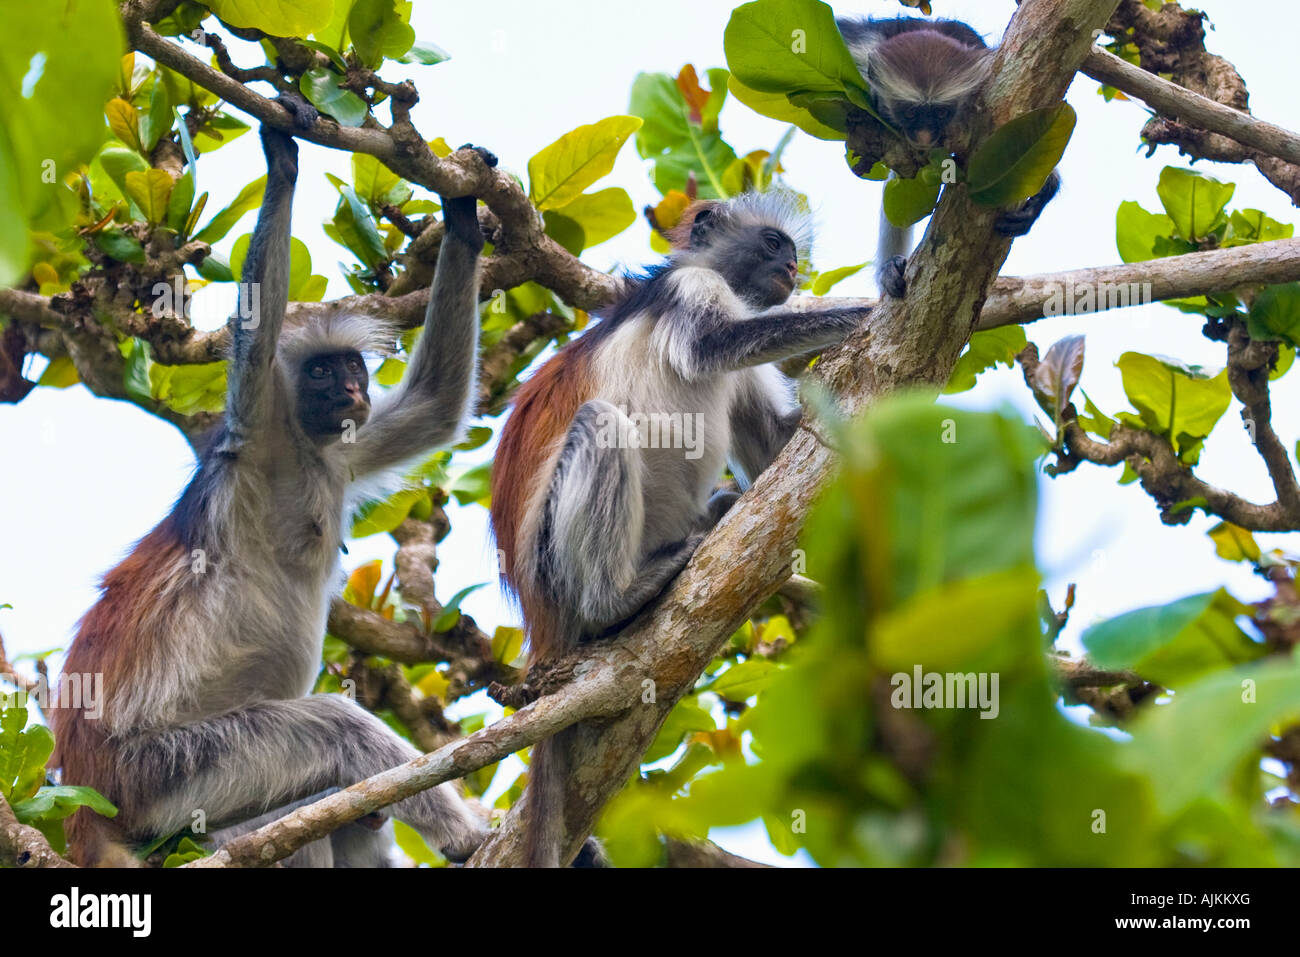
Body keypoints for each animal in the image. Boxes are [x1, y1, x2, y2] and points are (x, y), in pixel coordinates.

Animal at [53, 102, 496, 868]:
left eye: (351, 368)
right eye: (321, 371)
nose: (350, 389)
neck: (300, 454)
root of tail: (88, 795)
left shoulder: (342, 451)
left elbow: (437, 406)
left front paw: (463, 215)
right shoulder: (255, 434)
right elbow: (256, 335)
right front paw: (282, 157)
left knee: (344, 812)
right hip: (168, 773)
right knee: (339, 731)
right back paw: (470, 838)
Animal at [488, 188, 873, 868]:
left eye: (791, 253)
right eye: (773, 244)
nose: (793, 268)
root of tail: (541, 620)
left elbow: (780, 446)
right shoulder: (689, 290)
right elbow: (714, 348)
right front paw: (882, 302)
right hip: (550, 558)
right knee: (601, 421)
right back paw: (618, 598)